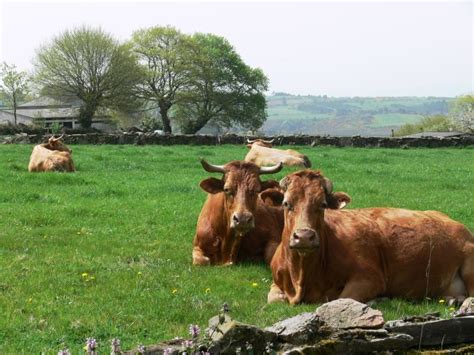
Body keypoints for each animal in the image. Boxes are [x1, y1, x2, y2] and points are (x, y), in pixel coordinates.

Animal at [262, 171, 474, 304]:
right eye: (286, 203)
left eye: (322, 204)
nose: (304, 237)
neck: (303, 276)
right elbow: (273, 299)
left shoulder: (370, 278)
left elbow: (343, 298)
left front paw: (377, 299)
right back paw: (453, 299)